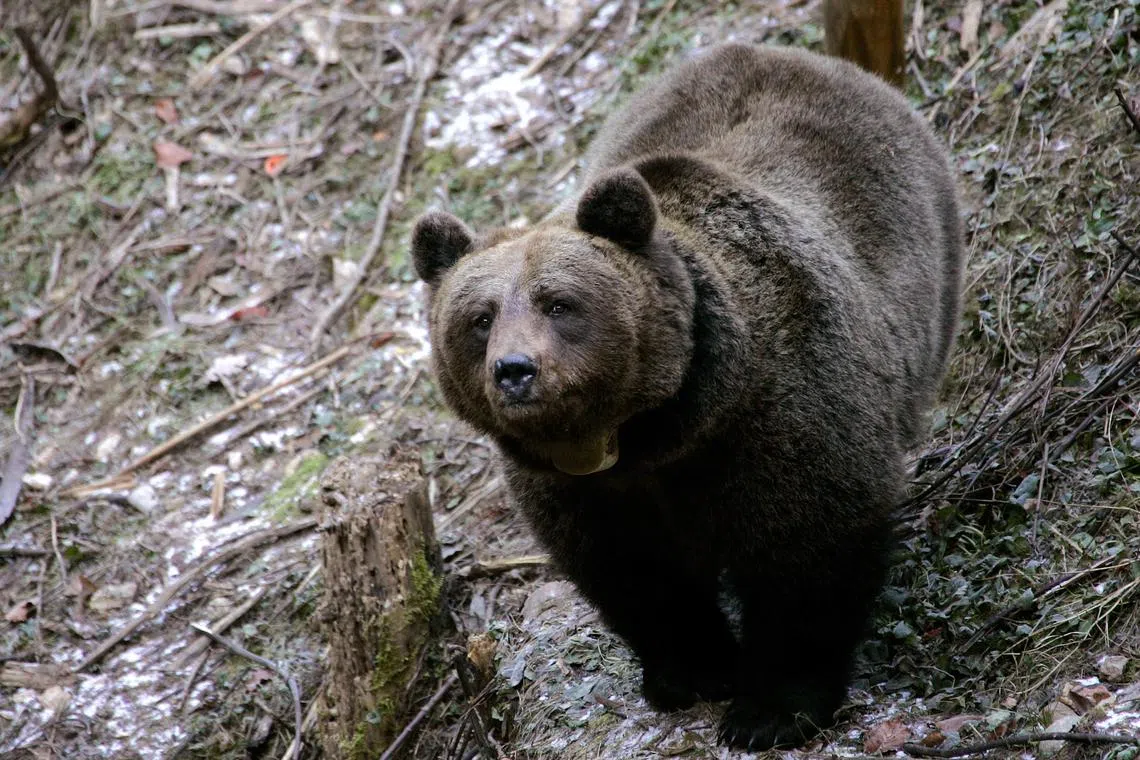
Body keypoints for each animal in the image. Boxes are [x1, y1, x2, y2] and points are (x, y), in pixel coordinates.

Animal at [411, 43, 963, 750]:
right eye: (479, 318)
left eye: (559, 303)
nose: (514, 370)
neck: (655, 431)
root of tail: (799, 56)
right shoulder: (582, 491)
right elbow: (637, 575)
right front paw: (693, 672)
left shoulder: (783, 413)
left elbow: (809, 549)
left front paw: (772, 709)